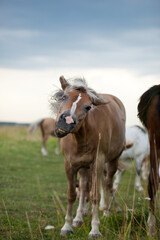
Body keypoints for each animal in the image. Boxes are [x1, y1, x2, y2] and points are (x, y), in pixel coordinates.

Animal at [50, 75, 126, 238]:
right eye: (64, 97)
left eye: (88, 107)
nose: (66, 122)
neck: (80, 138)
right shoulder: (70, 165)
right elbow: (72, 194)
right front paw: (67, 226)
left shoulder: (98, 164)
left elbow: (95, 195)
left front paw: (95, 229)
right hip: (84, 167)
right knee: (84, 186)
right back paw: (78, 218)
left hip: (112, 161)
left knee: (108, 184)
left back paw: (107, 212)